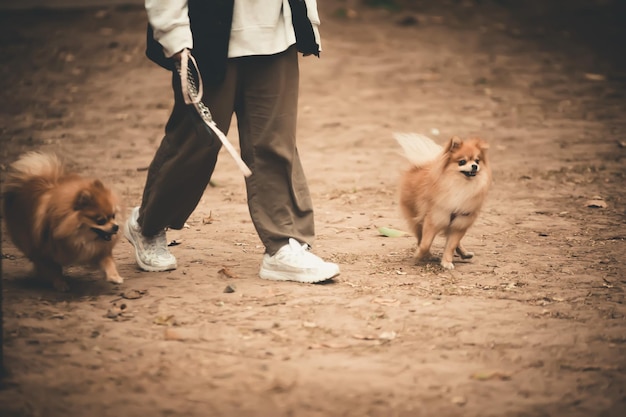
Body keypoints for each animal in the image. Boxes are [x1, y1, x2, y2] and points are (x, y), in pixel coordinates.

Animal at [1, 151, 122, 290]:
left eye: (113, 216)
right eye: (101, 220)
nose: (116, 226)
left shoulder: (98, 250)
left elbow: (108, 262)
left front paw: (114, 276)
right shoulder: (45, 251)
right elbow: (54, 269)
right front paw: (60, 284)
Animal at [394, 133, 492, 270]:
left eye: (477, 161)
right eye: (462, 161)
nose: (474, 166)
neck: (460, 185)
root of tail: (419, 166)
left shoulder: (459, 223)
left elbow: (451, 245)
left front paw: (446, 262)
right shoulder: (433, 219)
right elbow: (425, 243)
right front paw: (420, 254)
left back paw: (464, 253)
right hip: (416, 218)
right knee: (420, 237)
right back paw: (429, 255)